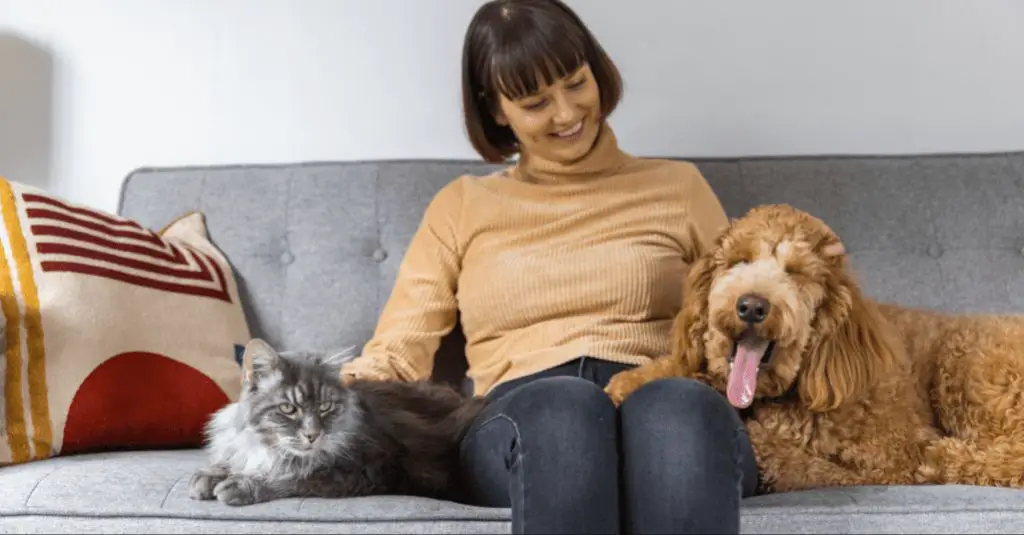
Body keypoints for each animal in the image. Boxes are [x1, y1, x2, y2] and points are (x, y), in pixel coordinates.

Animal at [189, 338, 487, 504]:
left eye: (325, 407)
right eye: (288, 408)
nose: (313, 435)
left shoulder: (364, 472)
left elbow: (293, 479)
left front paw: (241, 485)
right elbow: (231, 459)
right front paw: (208, 476)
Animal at [602, 202, 1024, 491]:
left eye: (796, 274)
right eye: (738, 261)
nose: (751, 306)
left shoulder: (887, 460)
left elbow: (798, 462)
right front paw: (626, 384)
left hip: (968, 364)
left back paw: (945, 458)